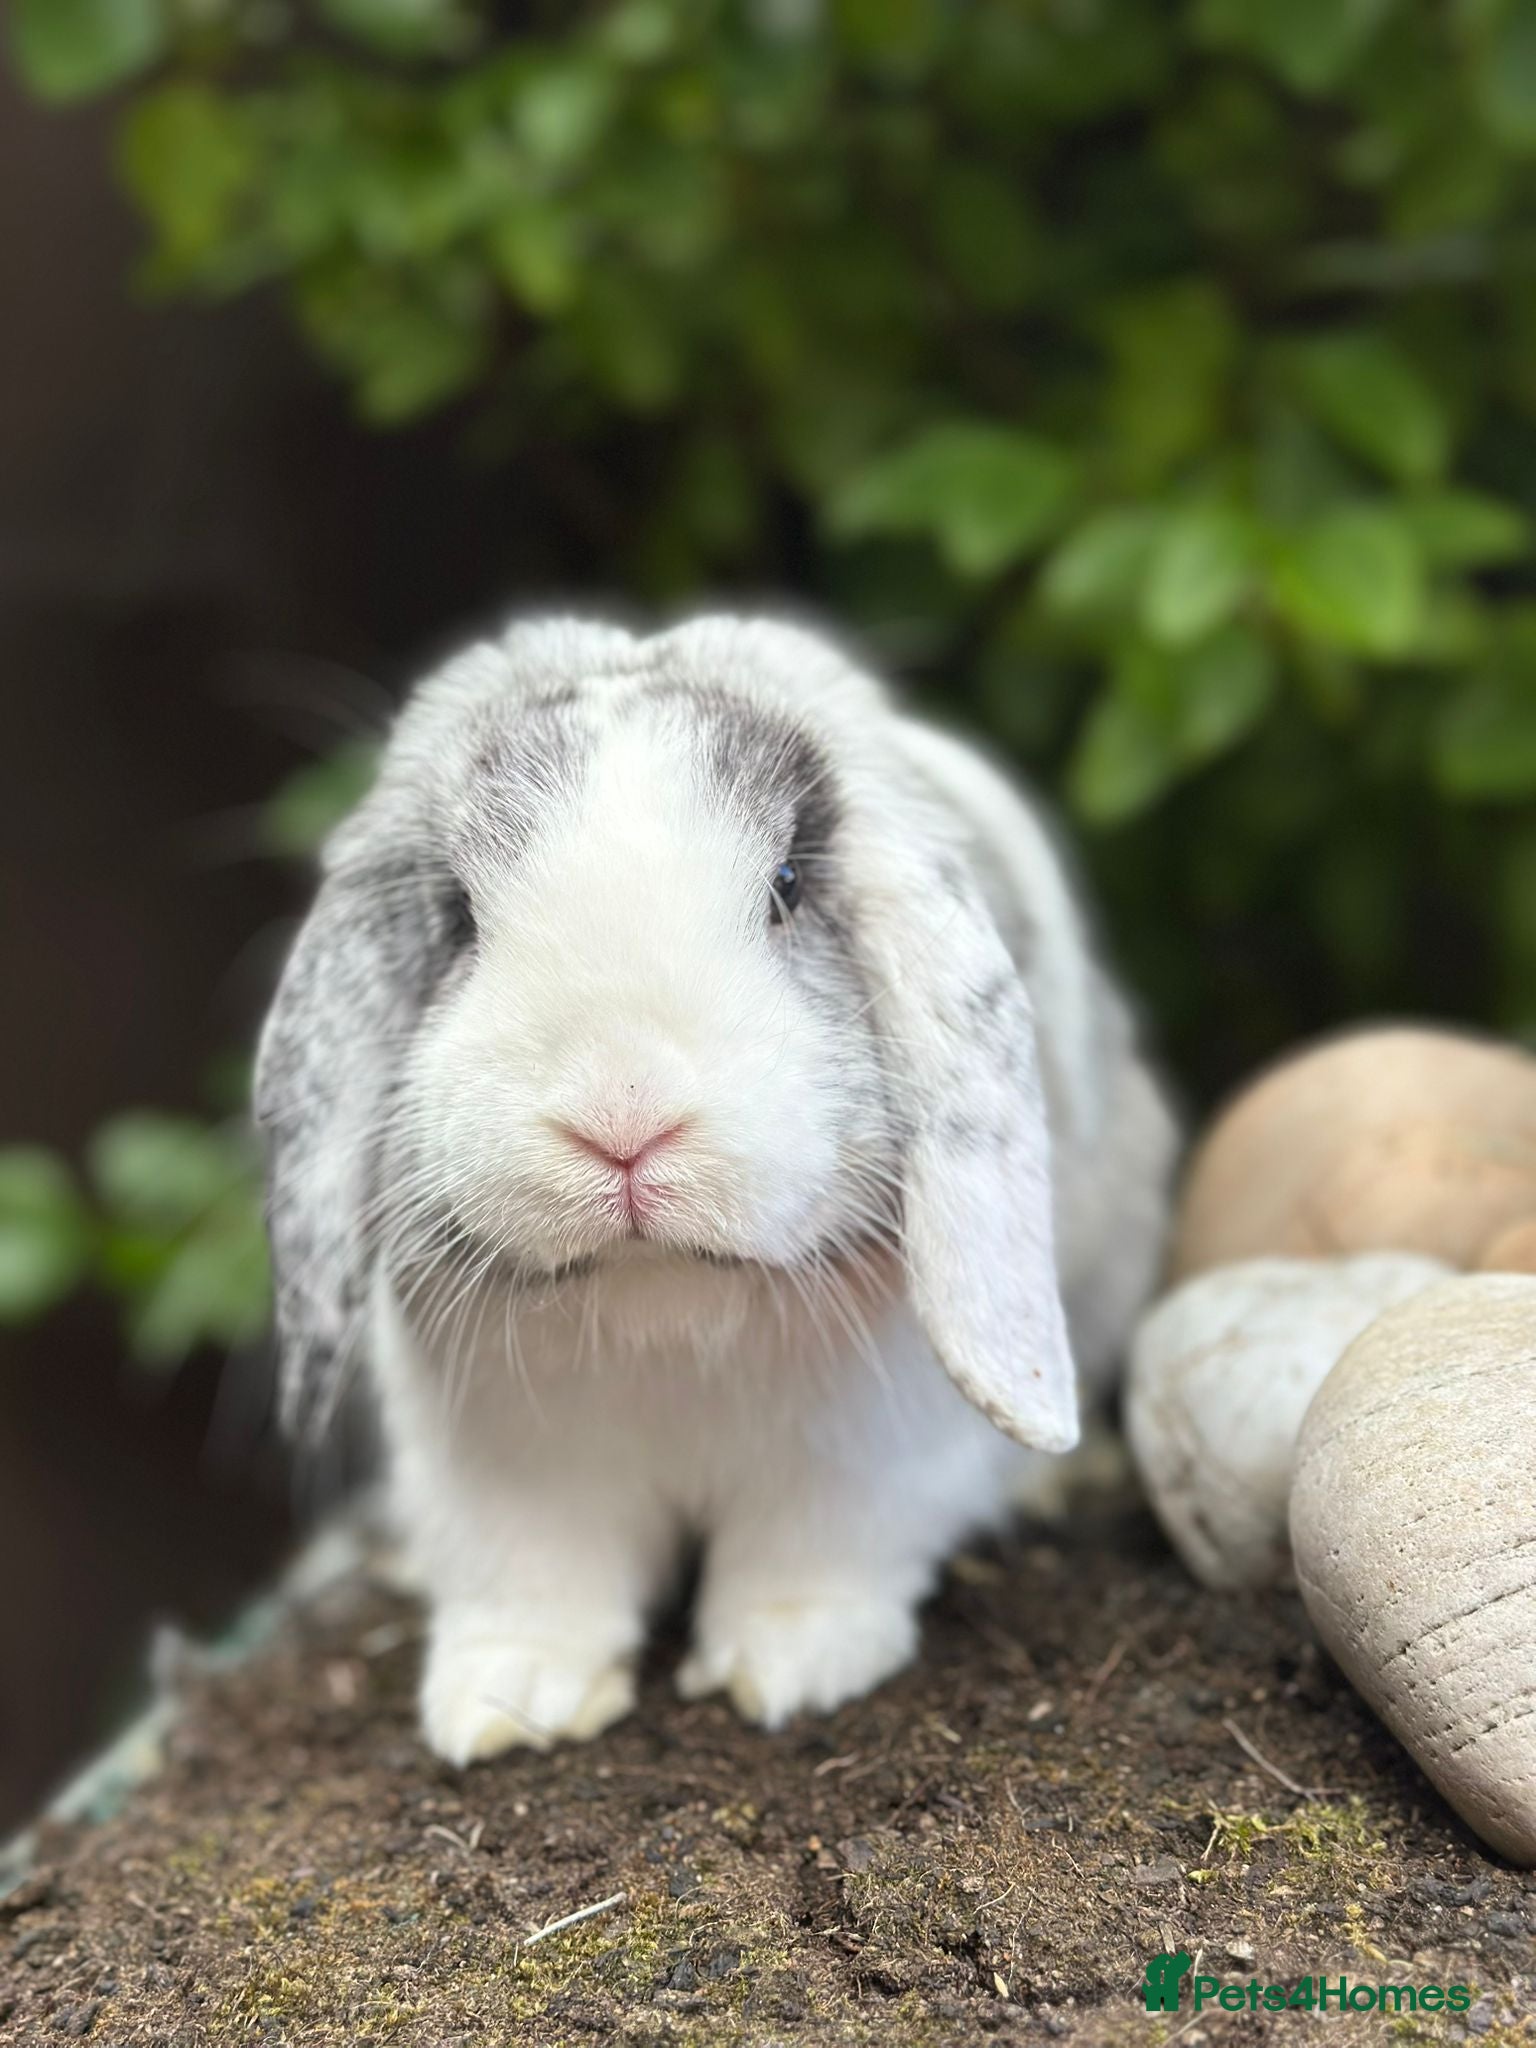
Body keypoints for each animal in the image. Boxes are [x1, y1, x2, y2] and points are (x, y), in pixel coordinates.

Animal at [255, 614, 1177, 1762]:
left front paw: (787, 1669)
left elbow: (816, 1555)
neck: (664, 1302)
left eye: (785, 885)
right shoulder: (504, 1467)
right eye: (459, 916)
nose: (624, 1118)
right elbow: (536, 1576)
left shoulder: (866, 1449)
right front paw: (508, 1705)